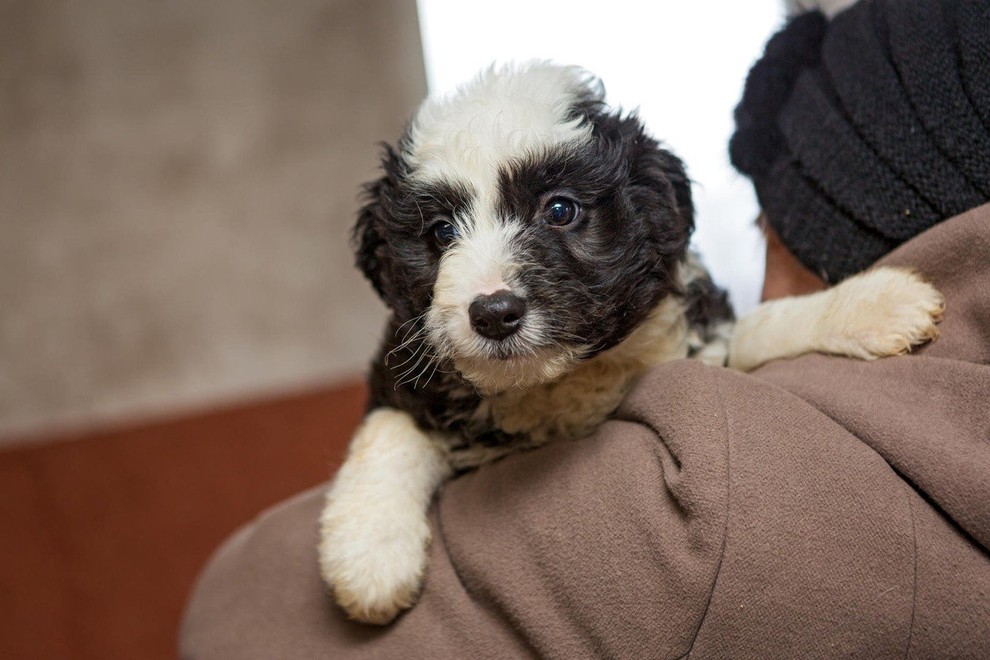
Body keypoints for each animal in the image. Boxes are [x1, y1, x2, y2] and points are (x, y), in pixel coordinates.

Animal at [320, 62, 944, 624]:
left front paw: (874, 304)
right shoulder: (404, 367)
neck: (558, 383)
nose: (494, 314)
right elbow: (390, 429)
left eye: (561, 209)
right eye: (442, 232)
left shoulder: (695, 342)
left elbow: (763, 328)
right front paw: (369, 556)